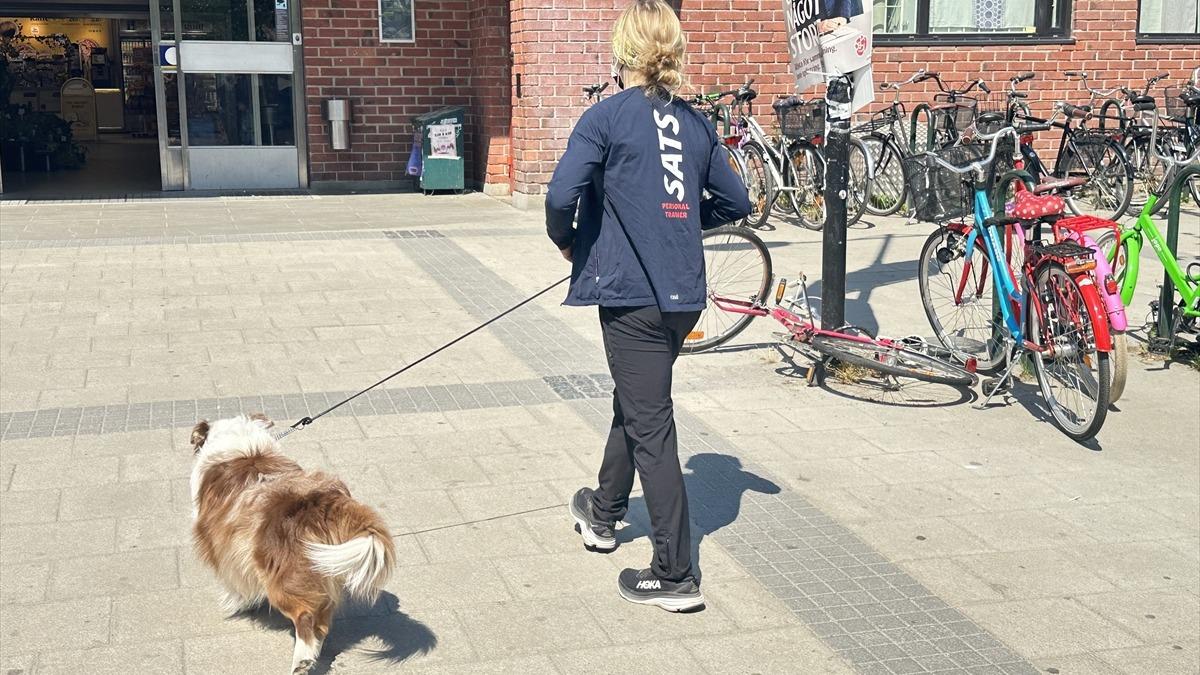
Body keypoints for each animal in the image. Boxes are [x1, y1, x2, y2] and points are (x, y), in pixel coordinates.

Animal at [188, 413, 393, 667]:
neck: (243, 444)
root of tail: (320, 504)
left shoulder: (220, 543)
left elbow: (234, 579)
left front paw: (238, 601)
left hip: (282, 576)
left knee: (305, 616)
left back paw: (301, 660)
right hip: (324, 568)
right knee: (322, 622)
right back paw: (312, 653)